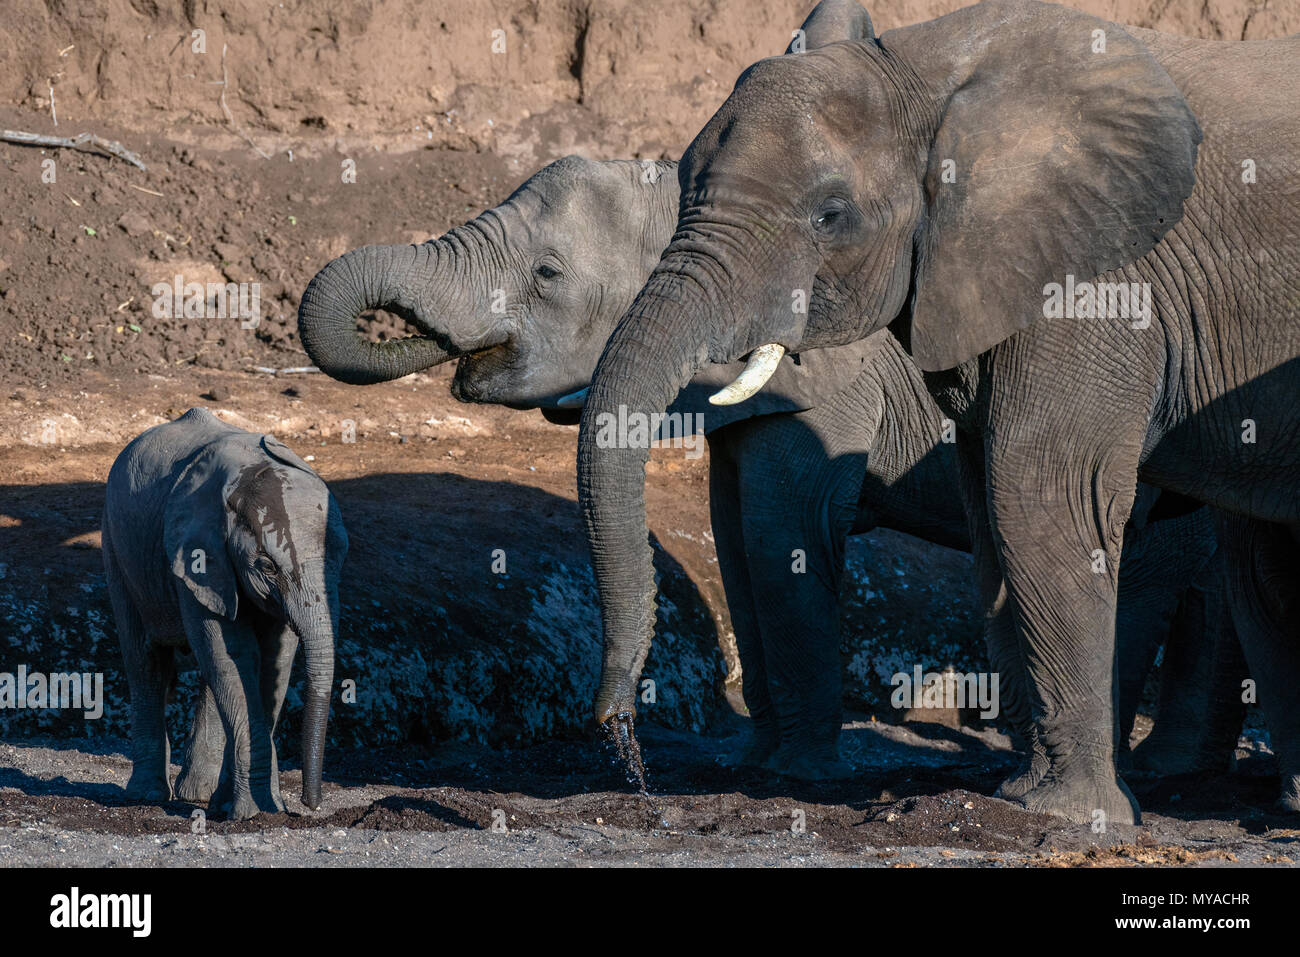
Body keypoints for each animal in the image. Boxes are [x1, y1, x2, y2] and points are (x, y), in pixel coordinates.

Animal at [102, 408, 348, 816]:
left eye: (337, 558)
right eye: (267, 566)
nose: (309, 804)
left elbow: (271, 660)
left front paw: (260, 807)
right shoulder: (195, 557)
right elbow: (235, 655)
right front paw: (252, 812)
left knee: (207, 671)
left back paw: (200, 797)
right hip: (117, 551)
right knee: (145, 662)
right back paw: (147, 796)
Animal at [579, 0, 1300, 821]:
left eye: (830, 216)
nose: (624, 745)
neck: (923, 75)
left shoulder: (1102, 280)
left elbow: (1041, 490)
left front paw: (1069, 816)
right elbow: (991, 506)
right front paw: (1023, 793)